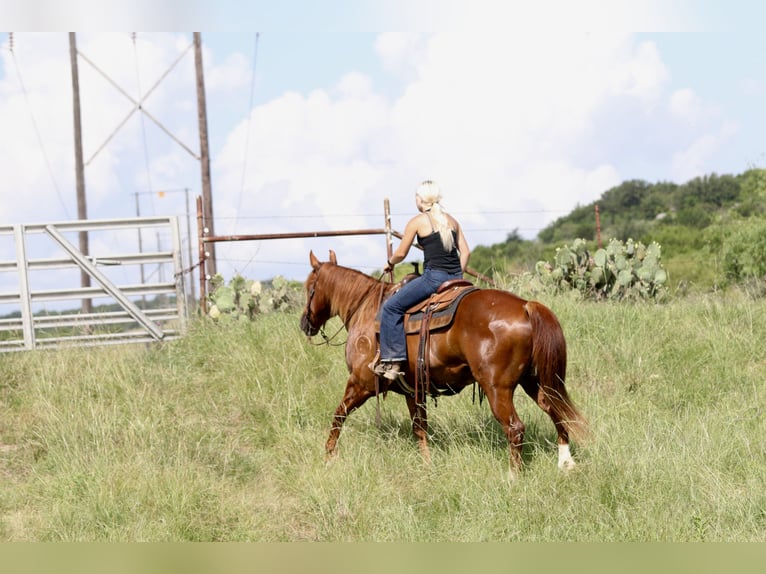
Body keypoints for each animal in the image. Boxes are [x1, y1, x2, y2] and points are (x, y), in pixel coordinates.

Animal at [300, 250, 587, 476]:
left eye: (308, 287)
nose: (305, 323)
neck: (366, 309)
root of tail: (526, 306)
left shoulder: (361, 383)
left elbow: (339, 413)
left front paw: (329, 456)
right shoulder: (413, 391)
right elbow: (420, 428)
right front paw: (427, 466)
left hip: (497, 388)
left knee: (515, 428)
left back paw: (512, 477)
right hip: (535, 381)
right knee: (555, 410)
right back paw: (566, 463)